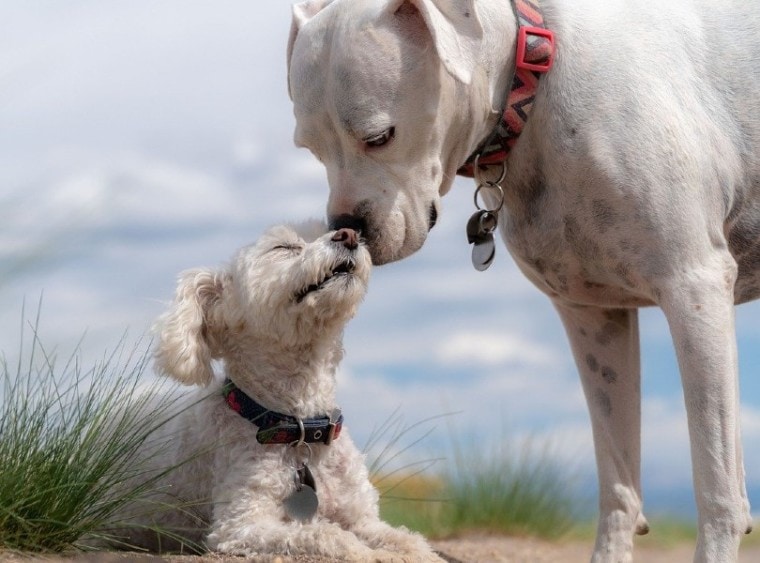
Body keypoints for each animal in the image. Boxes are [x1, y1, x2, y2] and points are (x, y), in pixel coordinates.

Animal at [288, 1, 760, 563]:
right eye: (310, 149)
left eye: (380, 136)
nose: (346, 228)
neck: (533, 77)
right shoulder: (594, 319)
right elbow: (618, 481)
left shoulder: (695, 290)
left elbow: (717, 484)